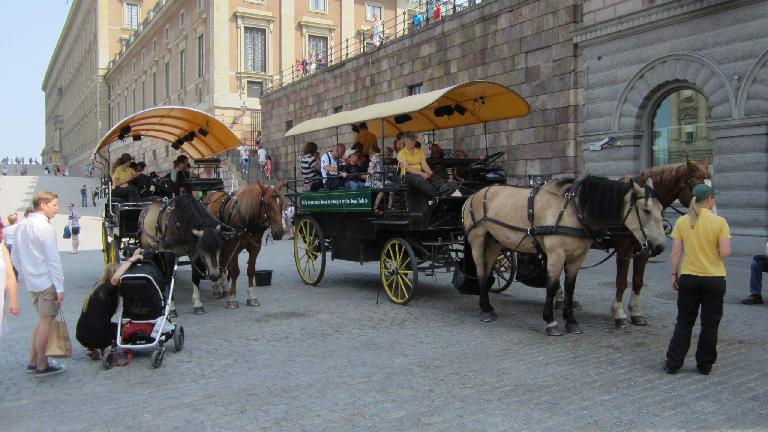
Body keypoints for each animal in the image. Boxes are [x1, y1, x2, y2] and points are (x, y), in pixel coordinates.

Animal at [202, 182, 286, 310]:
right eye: (267, 204)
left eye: (281, 203)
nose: (279, 232)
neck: (247, 221)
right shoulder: (233, 248)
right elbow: (234, 272)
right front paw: (232, 298)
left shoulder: (255, 249)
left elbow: (251, 270)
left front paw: (251, 297)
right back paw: (216, 288)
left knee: (221, 264)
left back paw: (223, 286)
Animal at [462, 176, 664, 338]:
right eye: (645, 210)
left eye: (661, 209)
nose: (660, 246)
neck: (573, 210)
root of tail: (473, 195)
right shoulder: (556, 254)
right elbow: (551, 286)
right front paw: (551, 321)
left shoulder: (577, 257)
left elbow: (569, 286)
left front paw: (571, 320)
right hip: (478, 239)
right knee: (481, 271)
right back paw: (484, 310)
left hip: (495, 242)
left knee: (488, 268)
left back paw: (488, 307)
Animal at [608, 159, 712, 328]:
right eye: (696, 189)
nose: (712, 213)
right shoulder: (623, 252)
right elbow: (621, 282)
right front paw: (618, 313)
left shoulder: (644, 252)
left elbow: (637, 282)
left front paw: (636, 312)